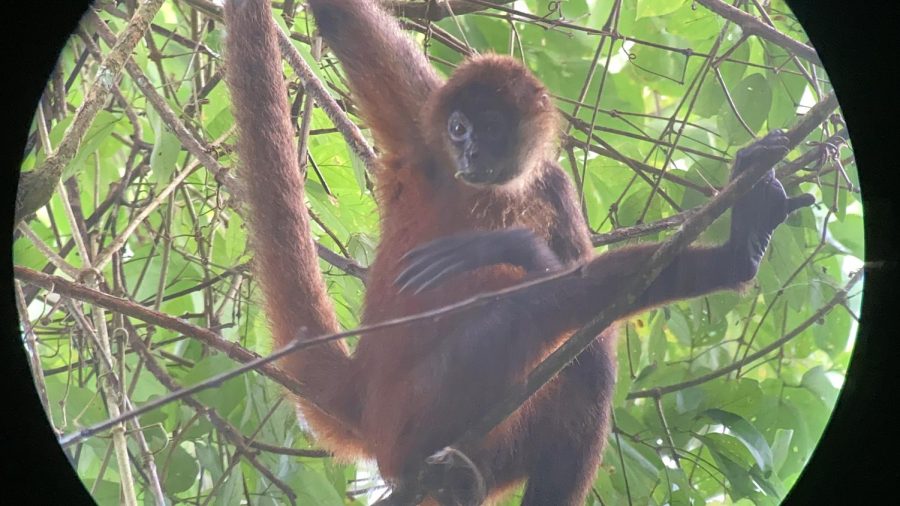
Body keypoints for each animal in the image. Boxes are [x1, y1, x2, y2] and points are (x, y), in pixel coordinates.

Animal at [223, 0, 816, 506]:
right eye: (459, 128)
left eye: (489, 127)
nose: (470, 153)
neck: (499, 189)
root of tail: (362, 388)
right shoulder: (422, 134)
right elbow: (343, 21)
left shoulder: (552, 184)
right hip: (407, 409)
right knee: (529, 311)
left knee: (589, 359)